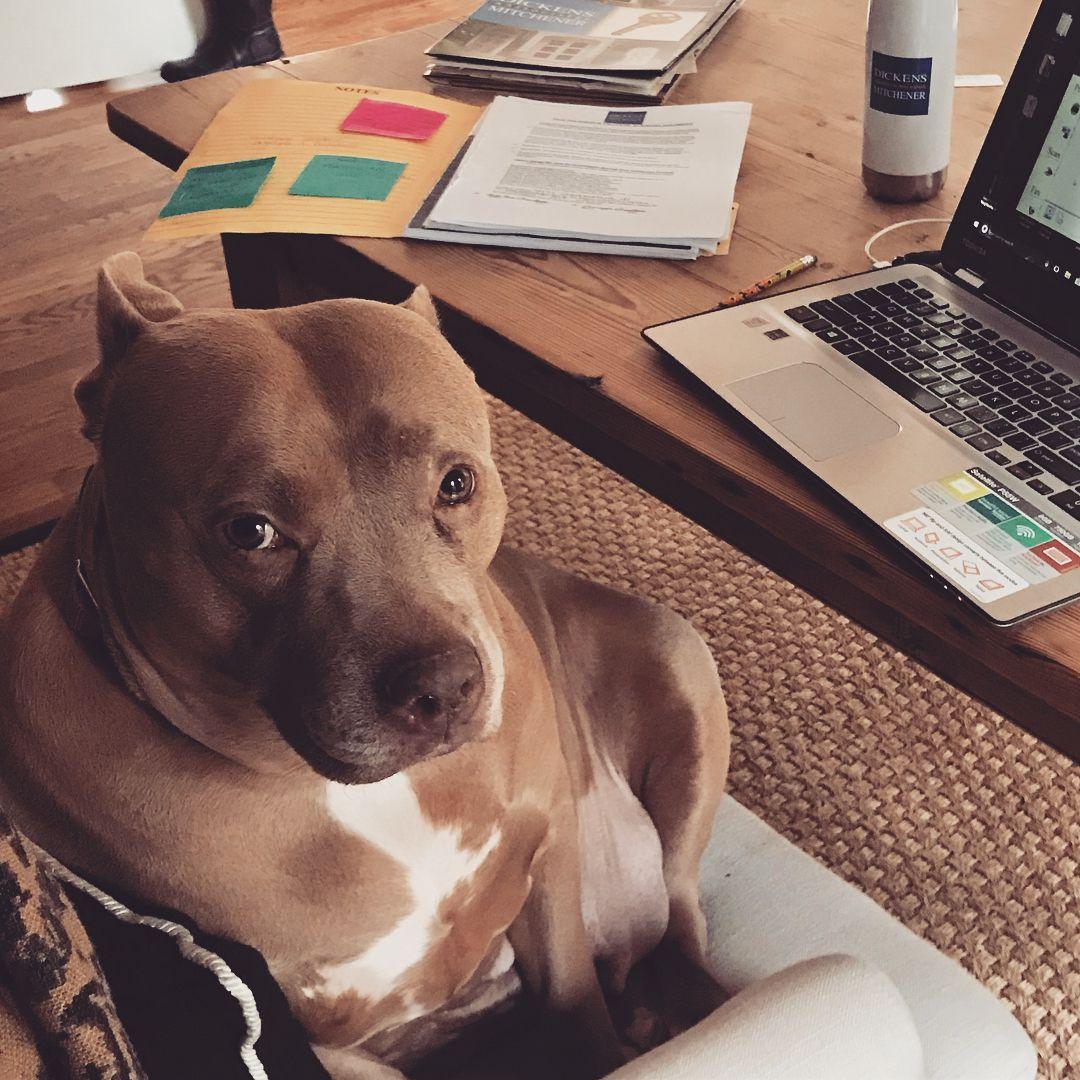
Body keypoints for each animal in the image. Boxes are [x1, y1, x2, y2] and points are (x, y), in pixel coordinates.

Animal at [0, 254, 730, 1080]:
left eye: (456, 483)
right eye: (250, 531)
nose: (443, 687)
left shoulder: (547, 861)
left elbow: (581, 1013)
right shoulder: (323, 1042)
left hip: (678, 661)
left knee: (681, 905)